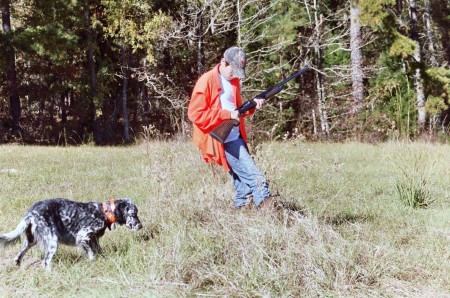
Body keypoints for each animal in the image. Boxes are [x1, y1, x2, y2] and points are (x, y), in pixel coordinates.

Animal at [0, 198, 142, 270]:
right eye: (133, 213)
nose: (140, 226)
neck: (104, 211)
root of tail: (32, 211)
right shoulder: (83, 236)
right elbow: (91, 254)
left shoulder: (93, 239)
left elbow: (99, 251)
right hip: (53, 242)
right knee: (45, 262)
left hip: (31, 240)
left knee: (19, 255)